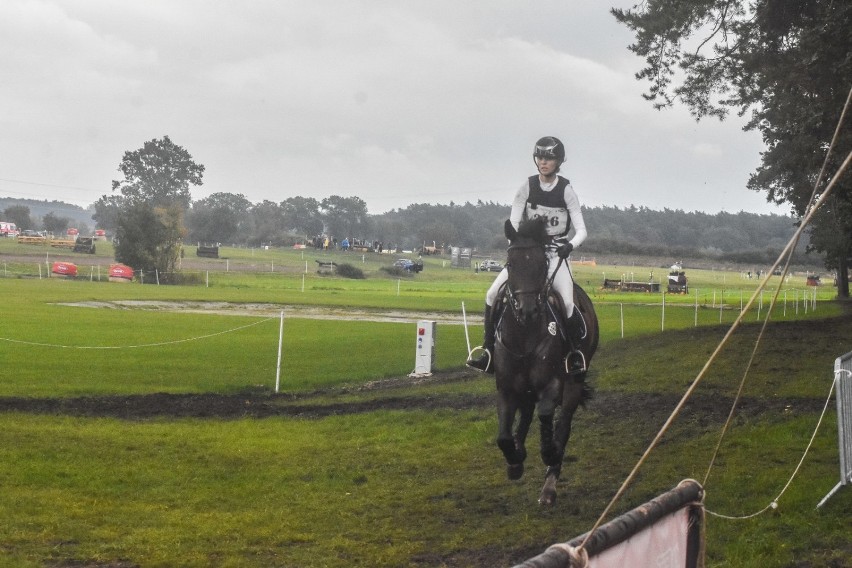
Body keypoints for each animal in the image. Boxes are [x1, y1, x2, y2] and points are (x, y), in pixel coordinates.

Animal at [492, 219, 600, 506]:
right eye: (510, 264)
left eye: (542, 264)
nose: (527, 310)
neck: (524, 336)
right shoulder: (506, 387)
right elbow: (504, 436)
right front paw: (515, 461)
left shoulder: (551, 384)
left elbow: (547, 418)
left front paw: (549, 452)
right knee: (527, 413)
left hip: (573, 383)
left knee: (563, 424)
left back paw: (549, 486)